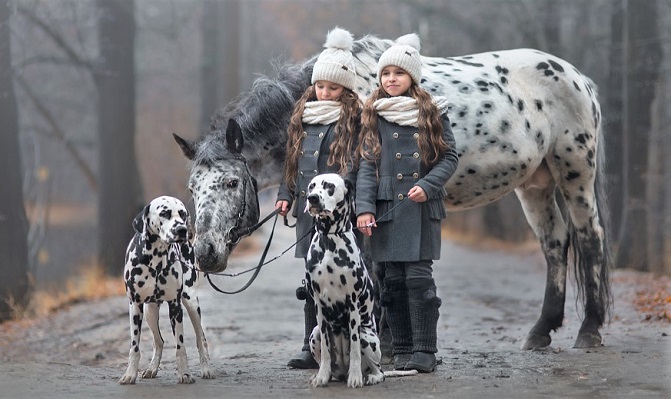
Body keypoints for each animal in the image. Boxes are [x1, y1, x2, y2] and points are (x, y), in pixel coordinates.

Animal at [119, 195, 215, 386]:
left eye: (183, 213)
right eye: (164, 213)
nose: (182, 229)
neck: (155, 261)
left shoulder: (175, 306)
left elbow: (181, 347)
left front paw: (184, 373)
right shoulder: (135, 306)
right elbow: (134, 347)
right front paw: (130, 374)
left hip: (191, 303)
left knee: (201, 339)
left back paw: (206, 369)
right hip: (150, 312)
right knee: (159, 341)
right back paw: (151, 369)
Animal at [175, 36, 616, 352]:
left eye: (232, 183)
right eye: (193, 188)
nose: (206, 253)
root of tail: (577, 78)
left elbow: (377, 273)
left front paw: (382, 343)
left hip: (575, 170)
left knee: (589, 238)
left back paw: (589, 330)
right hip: (535, 184)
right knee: (555, 244)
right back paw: (541, 331)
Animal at [306, 174, 414, 388]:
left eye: (329, 186)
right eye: (311, 186)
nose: (312, 198)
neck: (330, 240)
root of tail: (341, 372)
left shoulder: (353, 304)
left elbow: (355, 347)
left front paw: (355, 377)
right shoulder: (319, 305)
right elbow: (326, 349)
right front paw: (321, 376)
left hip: (367, 336)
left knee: (378, 369)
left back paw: (369, 376)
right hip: (314, 334)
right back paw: (327, 375)